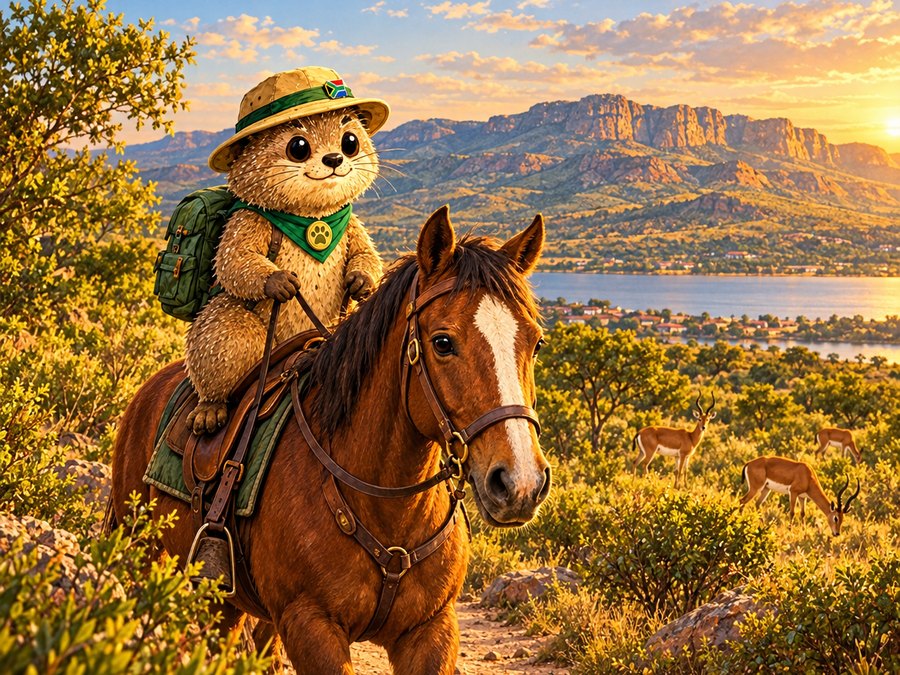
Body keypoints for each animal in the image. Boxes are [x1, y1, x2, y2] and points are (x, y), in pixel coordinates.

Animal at [110, 205, 551, 674]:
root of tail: (150, 389)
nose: (520, 483)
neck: (386, 509)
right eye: (443, 342)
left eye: (536, 342)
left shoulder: (431, 629)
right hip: (148, 564)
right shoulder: (312, 626)